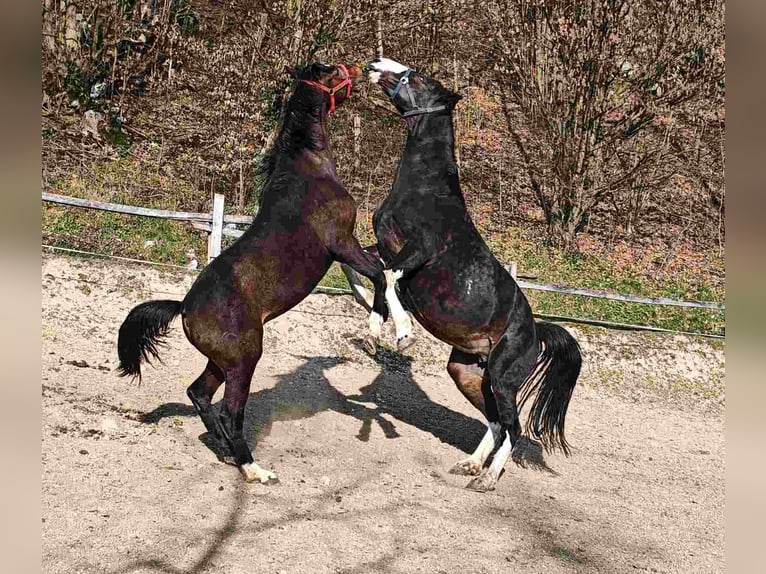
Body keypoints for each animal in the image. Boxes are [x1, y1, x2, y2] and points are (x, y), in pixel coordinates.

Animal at [117, 62, 394, 484]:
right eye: (332, 70)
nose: (365, 69)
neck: (308, 172)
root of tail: (183, 308)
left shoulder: (347, 248)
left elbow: (376, 271)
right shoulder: (342, 243)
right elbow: (379, 273)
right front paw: (378, 332)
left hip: (222, 363)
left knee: (200, 396)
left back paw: (227, 452)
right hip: (244, 361)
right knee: (230, 412)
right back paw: (253, 469)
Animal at [347, 58, 583, 492]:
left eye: (420, 78)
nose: (374, 65)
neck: (426, 188)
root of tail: (536, 331)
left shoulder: (419, 251)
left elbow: (389, 276)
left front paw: (402, 331)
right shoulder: (385, 244)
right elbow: (365, 270)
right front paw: (373, 322)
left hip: (503, 379)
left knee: (513, 426)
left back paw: (487, 478)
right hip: (468, 373)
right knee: (496, 422)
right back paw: (471, 465)